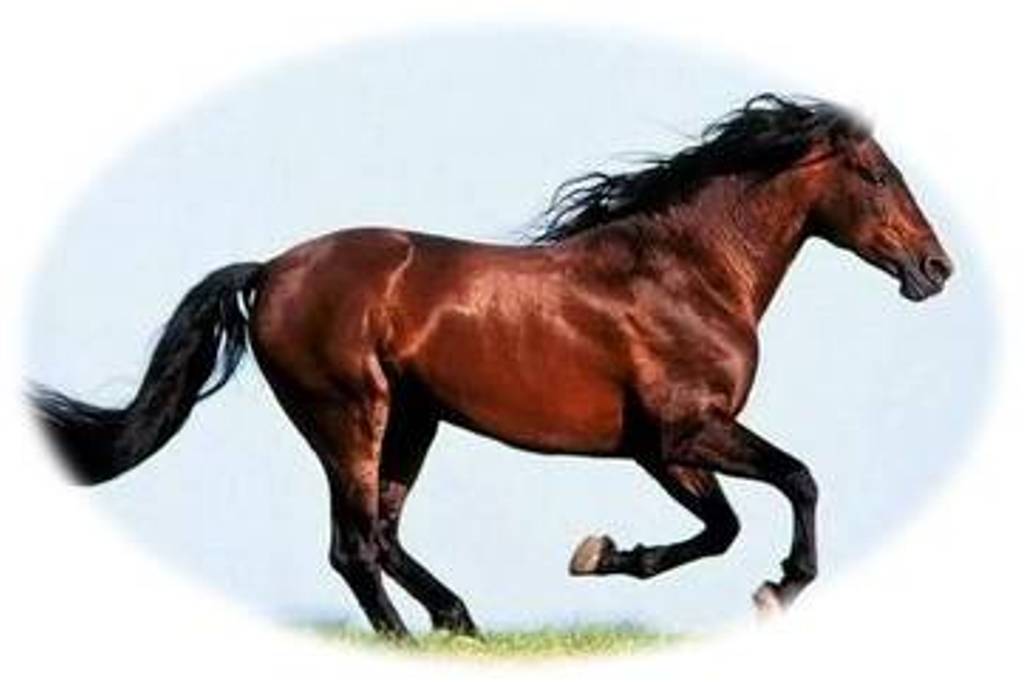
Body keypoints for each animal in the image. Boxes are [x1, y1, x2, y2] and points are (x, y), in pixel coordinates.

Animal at [30, 94, 954, 638]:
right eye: (876, 174)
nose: (935, 269)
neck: (685, 272)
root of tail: (269, 271)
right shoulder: (684, 432)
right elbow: (795, 481)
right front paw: (778, 587)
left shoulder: (663, 449)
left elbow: (724, 524)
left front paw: (600, 554)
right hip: (348, 414)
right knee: (353, 545)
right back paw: (413, 638)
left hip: (412, 419)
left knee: (383, 534)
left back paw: (460, 621)